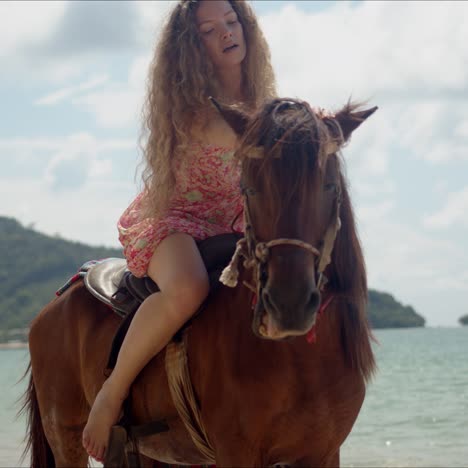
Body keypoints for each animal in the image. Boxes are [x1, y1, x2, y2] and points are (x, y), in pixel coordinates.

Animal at [23, 97, 378, 466]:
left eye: (329, 185)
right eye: (249, 188)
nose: (288, 305)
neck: (300, 361)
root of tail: (57, 302)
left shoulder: (324, 453)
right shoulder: (236, 452)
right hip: (66, 437)